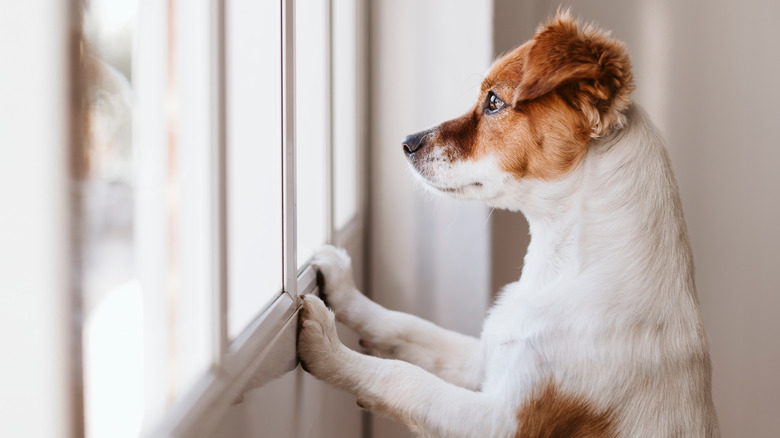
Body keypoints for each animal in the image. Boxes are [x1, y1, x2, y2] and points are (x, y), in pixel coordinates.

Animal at [298, 12, 720, 436]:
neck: (561, 268)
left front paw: (328, 348)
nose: (406, 142)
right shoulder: (482, 359)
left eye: (494, 102)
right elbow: (406, 326)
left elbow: (404, 378)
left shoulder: (503, 421)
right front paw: (343, 288)